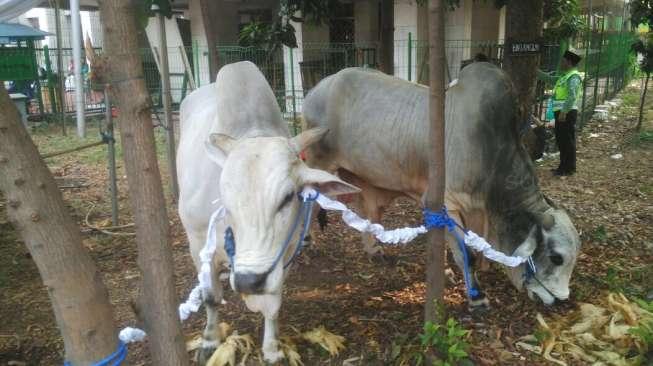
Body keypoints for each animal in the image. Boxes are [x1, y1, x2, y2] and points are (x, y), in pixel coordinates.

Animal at [178, 61, 360, 364]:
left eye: (287, 197)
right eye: (225, 202)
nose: (248, 281)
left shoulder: (285, 252)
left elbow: (273, 303)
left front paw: (272, 349)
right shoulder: (198, 243)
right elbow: (210, 297)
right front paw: (210, 340)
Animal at [302, 63, 580, 308]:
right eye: (556, 258)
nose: (561, 301)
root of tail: (318, 88)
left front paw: (446, 273)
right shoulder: (448, 203)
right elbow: (466, 254)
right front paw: (477, 297)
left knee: (365, 209)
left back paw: (373, 249)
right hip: (319, 162)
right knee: (311, 203)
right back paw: (307, 243)